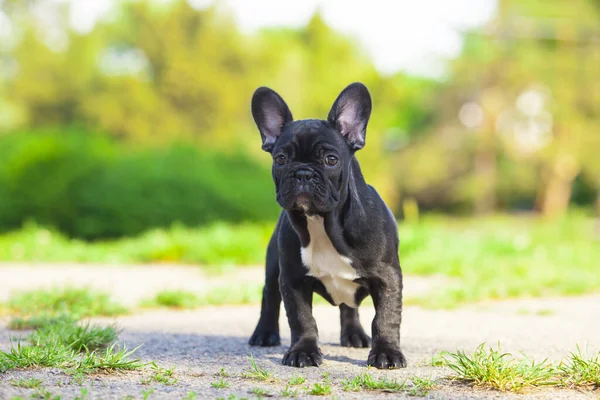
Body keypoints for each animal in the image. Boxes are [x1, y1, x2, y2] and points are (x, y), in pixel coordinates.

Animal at [246, 82, 406, 368]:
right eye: (280, 160)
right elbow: (301, 318)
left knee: (349, 307)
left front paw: (387, 353)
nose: (303, 172)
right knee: (269, 296)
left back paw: (354, 334)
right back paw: (264, 333)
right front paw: (303, 351)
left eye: (331, 160)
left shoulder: (387, 277)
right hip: (273, 265)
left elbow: (386, 317)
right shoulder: (293, 279)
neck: (322, 223)